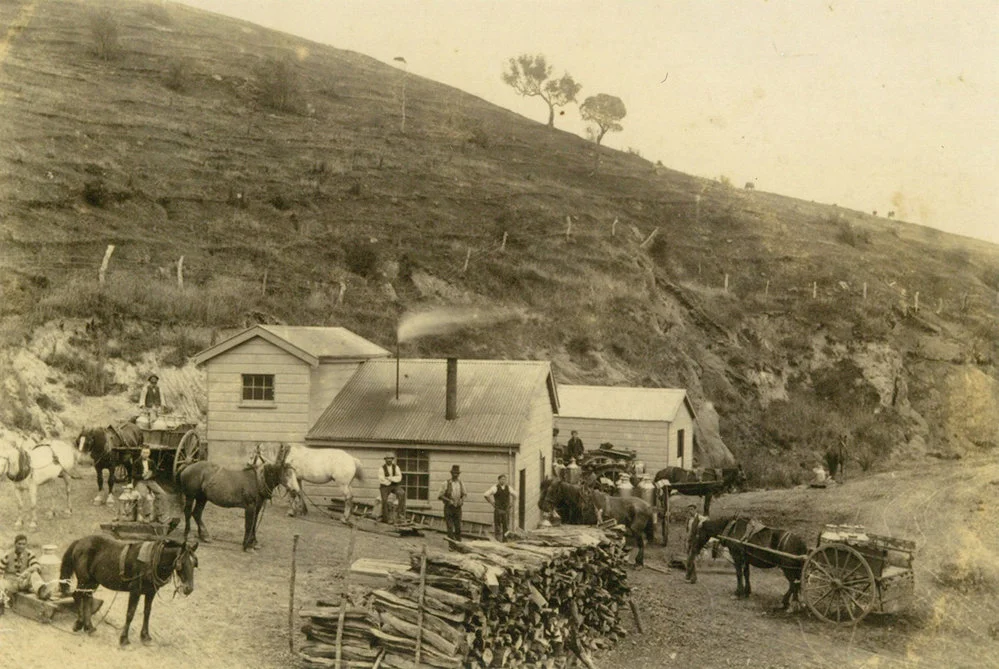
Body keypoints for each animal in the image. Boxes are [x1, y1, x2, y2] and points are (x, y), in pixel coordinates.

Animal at [60, 528, 199, 644]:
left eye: (194, 564)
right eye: (181, 563)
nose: (189, 589)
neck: (152, 560)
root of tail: (79, 541)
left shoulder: (150, 592)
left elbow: (147, 612)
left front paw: (145, 636)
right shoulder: (135, 591)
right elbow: (130, 613)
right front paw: (124, 638)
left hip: (93, 581)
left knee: (87, 598)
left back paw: (89, 626)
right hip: (84, 579)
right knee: (77, 596)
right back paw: (79, 623)